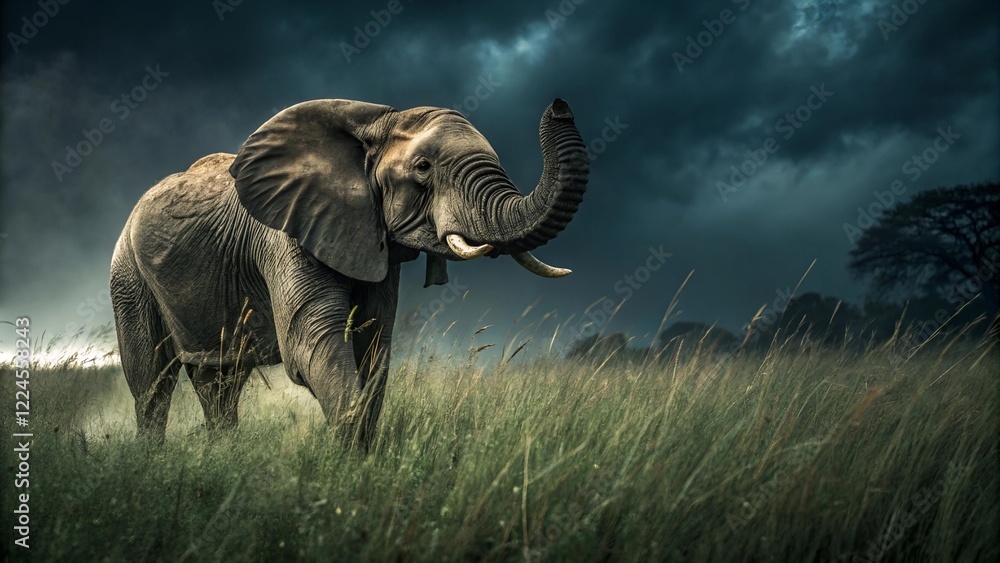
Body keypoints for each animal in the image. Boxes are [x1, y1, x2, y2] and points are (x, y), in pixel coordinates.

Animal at [110, 98, 589, 446]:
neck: (375, 123)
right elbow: (313, 342)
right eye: (423, 168)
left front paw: (363, 455)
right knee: (152, 382)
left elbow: (373, 344)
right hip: (127, 275)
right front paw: (350, 459)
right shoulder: (287, 232)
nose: (559, 104)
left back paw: (224, 453)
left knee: (220, 380)